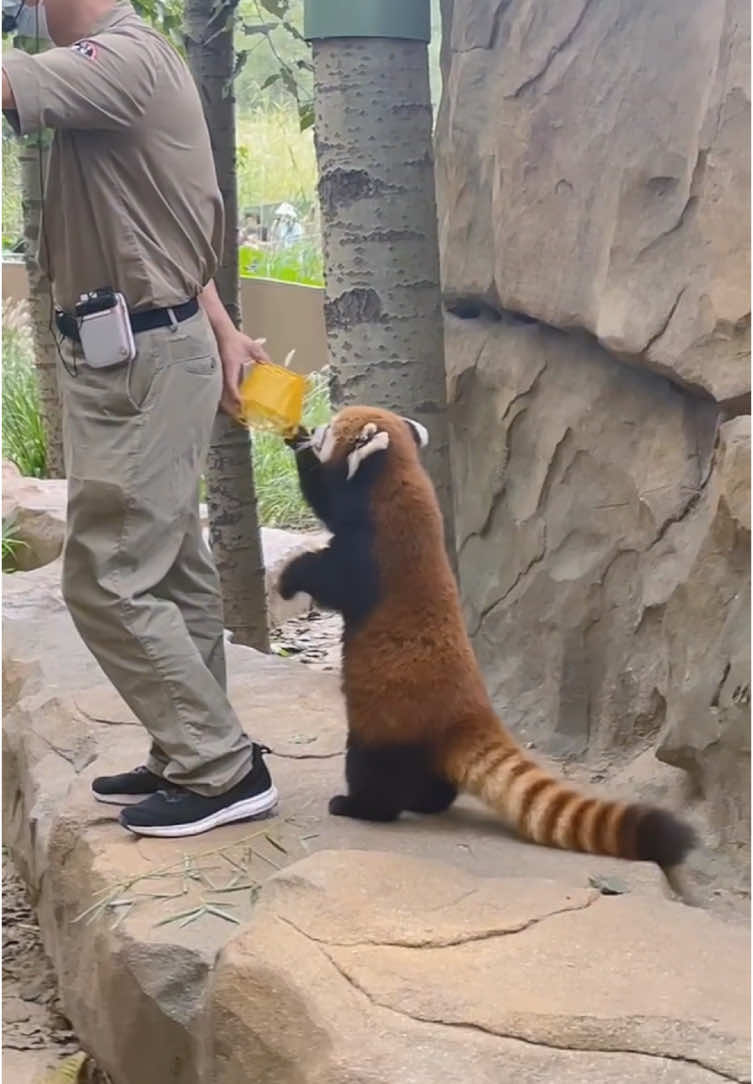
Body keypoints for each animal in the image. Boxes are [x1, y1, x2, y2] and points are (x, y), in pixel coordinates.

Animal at [279, 407, 697, 897]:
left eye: (331, 426)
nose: (313, 427)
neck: (398, 482)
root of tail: (470, 712)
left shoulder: (373, 554)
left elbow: (328, 560)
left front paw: (290, 569)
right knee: (434, 782)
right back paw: (427, 802)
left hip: (388, 724)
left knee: (372, 771)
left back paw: (357, 806)